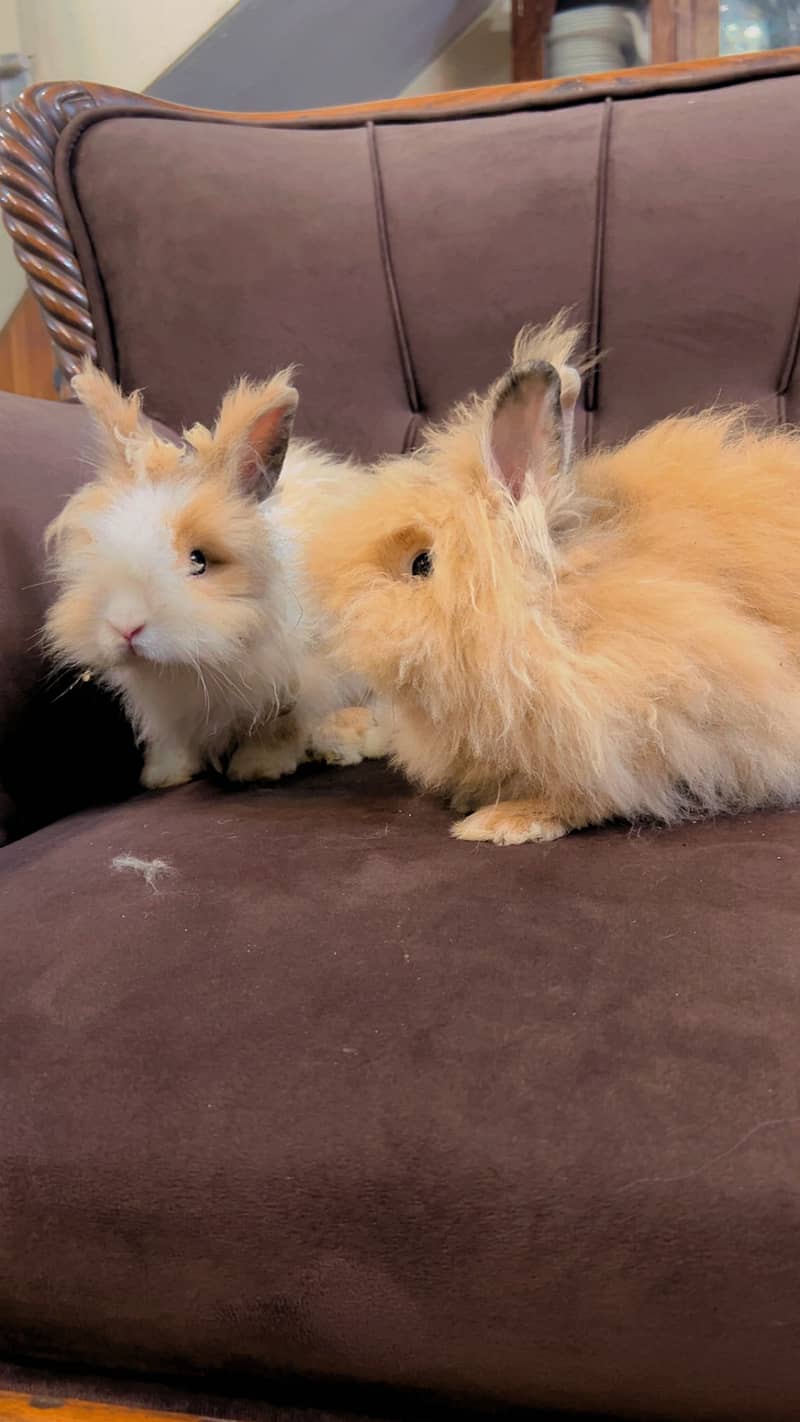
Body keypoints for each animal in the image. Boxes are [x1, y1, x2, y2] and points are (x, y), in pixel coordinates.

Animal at [44, 362, 384, 790]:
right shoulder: (168, 710)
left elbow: (278, 728)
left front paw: (258, 768)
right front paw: (164, 775)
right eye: (100, 547)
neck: (189, 668)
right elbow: (170, 738)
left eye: (199, 560)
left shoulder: (298, 680)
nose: (125, 627)